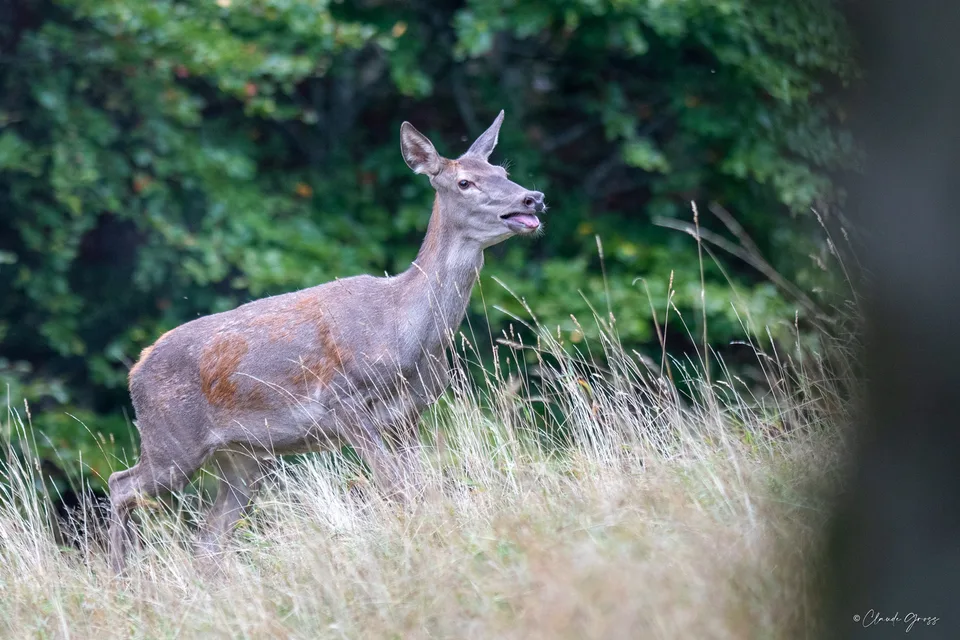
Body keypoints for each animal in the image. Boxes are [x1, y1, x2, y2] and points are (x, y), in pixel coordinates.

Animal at [107, 110, 546, 572]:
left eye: (503, 172)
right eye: (464, 182)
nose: (532, 198)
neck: (402, 330)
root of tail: (136, 368)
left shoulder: (408, 416)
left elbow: (419, 489)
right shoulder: (342, 403)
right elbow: (395, 488)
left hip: (242, 458)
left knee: (208, 539)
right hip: (172, 441)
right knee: (121, 484)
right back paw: (119, 574)